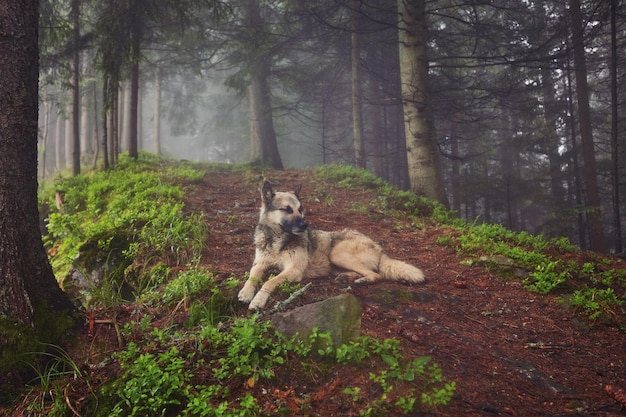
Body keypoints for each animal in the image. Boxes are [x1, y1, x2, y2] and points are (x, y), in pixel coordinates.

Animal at [235, 180, 424, 310]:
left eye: (300, 209)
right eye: (287, 209)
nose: (305, 225)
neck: (277, 240)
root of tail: (378, 247)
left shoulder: (293, 270)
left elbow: (269, 282)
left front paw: (258, 300)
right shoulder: (260, 264)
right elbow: (252, 276)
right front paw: (246, 292)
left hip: (337, 253)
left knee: (376, 274)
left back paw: (362, 279)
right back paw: (347, 277)